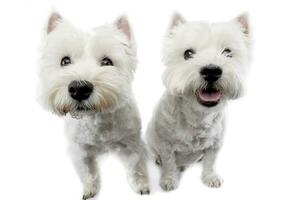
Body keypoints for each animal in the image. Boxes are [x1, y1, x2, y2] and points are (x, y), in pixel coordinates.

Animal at [146, 12, 250, 191]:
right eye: (188, 53)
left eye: (228, 52)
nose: (211, 71)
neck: (198, 115)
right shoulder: (166, 144)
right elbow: (169, 162)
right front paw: (169, 179)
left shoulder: (215, 145)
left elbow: (210, 162)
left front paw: (210, 177)